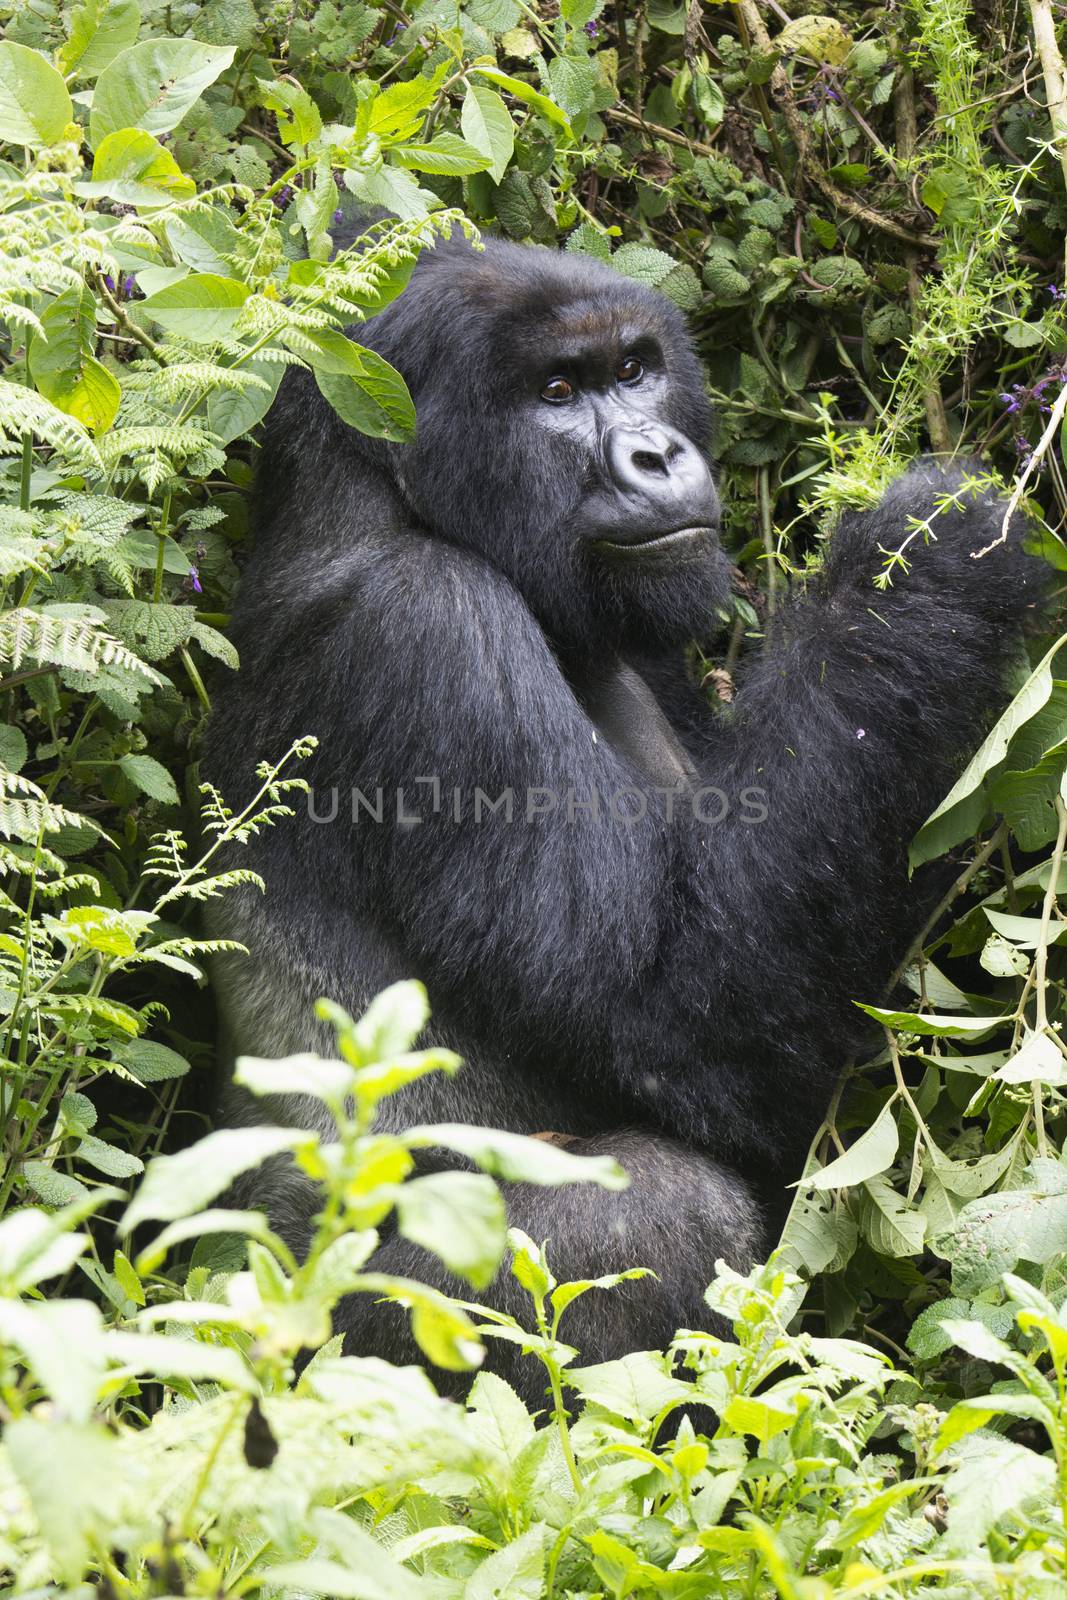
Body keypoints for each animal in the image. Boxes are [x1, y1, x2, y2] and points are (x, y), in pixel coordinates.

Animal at [204, 228, 1036, 1401]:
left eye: (635, 369)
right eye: (557, 393)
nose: (652, 455)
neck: (371, 494)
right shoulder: (424, 626)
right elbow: (671, 1016)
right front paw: (919, 565)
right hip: (312, 1350)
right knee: (660, 1211)